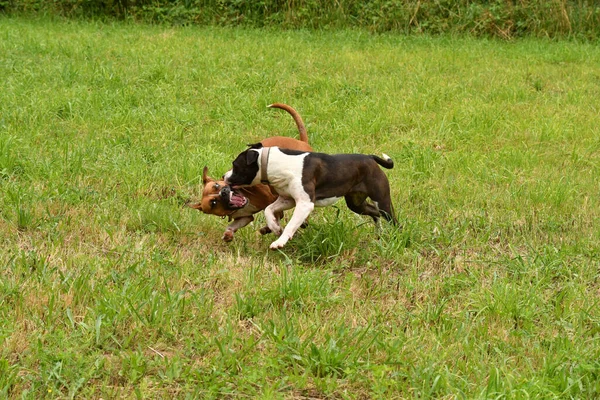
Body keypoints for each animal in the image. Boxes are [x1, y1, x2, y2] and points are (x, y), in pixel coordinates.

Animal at [223, 144, 396, 248]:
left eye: (235, 165)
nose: (224, 176)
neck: (277, 164)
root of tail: (370, 158)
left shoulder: (304, 204)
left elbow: (291, 225)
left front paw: (280, 241)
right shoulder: (288, 200)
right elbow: (268, 209)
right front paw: (275, 227)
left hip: (382, 201)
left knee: (392, 219)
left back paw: (396, 237)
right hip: (356, 203)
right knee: (374, 213)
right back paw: (379, 235)